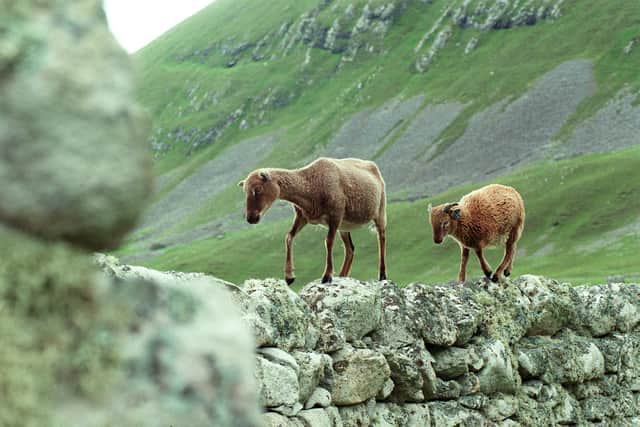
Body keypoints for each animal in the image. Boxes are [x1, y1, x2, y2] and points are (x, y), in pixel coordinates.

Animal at [238, 157, 387, 284]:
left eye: (257, 189)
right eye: (245, 191)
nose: (251, 218)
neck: (310, 185)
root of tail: (373, 166)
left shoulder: (335, 215)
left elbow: (328, 242)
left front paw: (327, 276)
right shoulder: (302, 217)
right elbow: (289, 237)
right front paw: (289, 276)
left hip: (380, 211)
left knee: (381, 238)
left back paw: (382, 275)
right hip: (344, 226)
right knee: (350, 250)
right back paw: (342, 276)